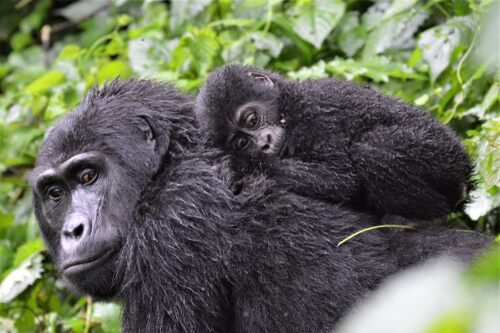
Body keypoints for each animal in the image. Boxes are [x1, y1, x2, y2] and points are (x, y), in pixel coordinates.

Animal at [195, 64, 472, 220]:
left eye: (252, 119)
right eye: (242, 143)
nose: (264, 143)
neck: (288, 106)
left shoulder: (316, 113)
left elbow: (342, 179)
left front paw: (241, 166)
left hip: (444, 157)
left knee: (373, 149)